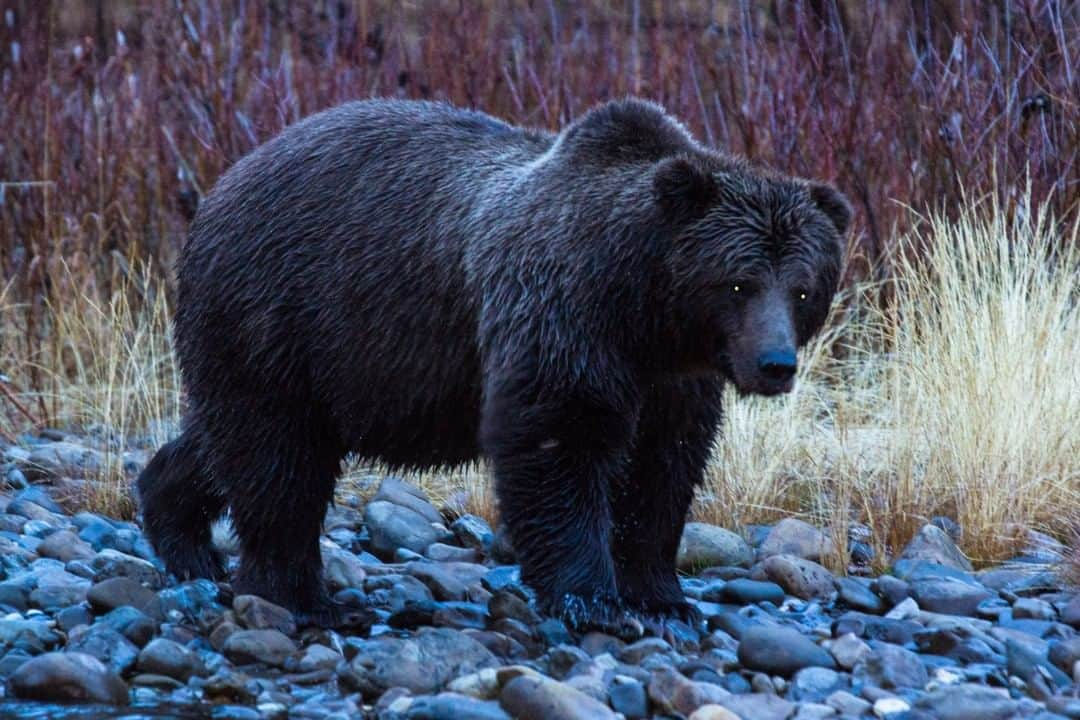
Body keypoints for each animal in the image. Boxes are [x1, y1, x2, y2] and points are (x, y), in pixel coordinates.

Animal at [135, 97, 846, 634]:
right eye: (738, 282)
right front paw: (592, 600)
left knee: (231, 440)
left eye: (802, 288)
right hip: (278, 310)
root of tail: (223, 182)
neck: (641, 308)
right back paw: (301, 596)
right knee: (278, 458)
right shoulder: (560, 315)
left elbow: (662, 469)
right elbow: (561, 442)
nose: (775, 363)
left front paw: (663, 598)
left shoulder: (674, 381)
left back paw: (182, 534)